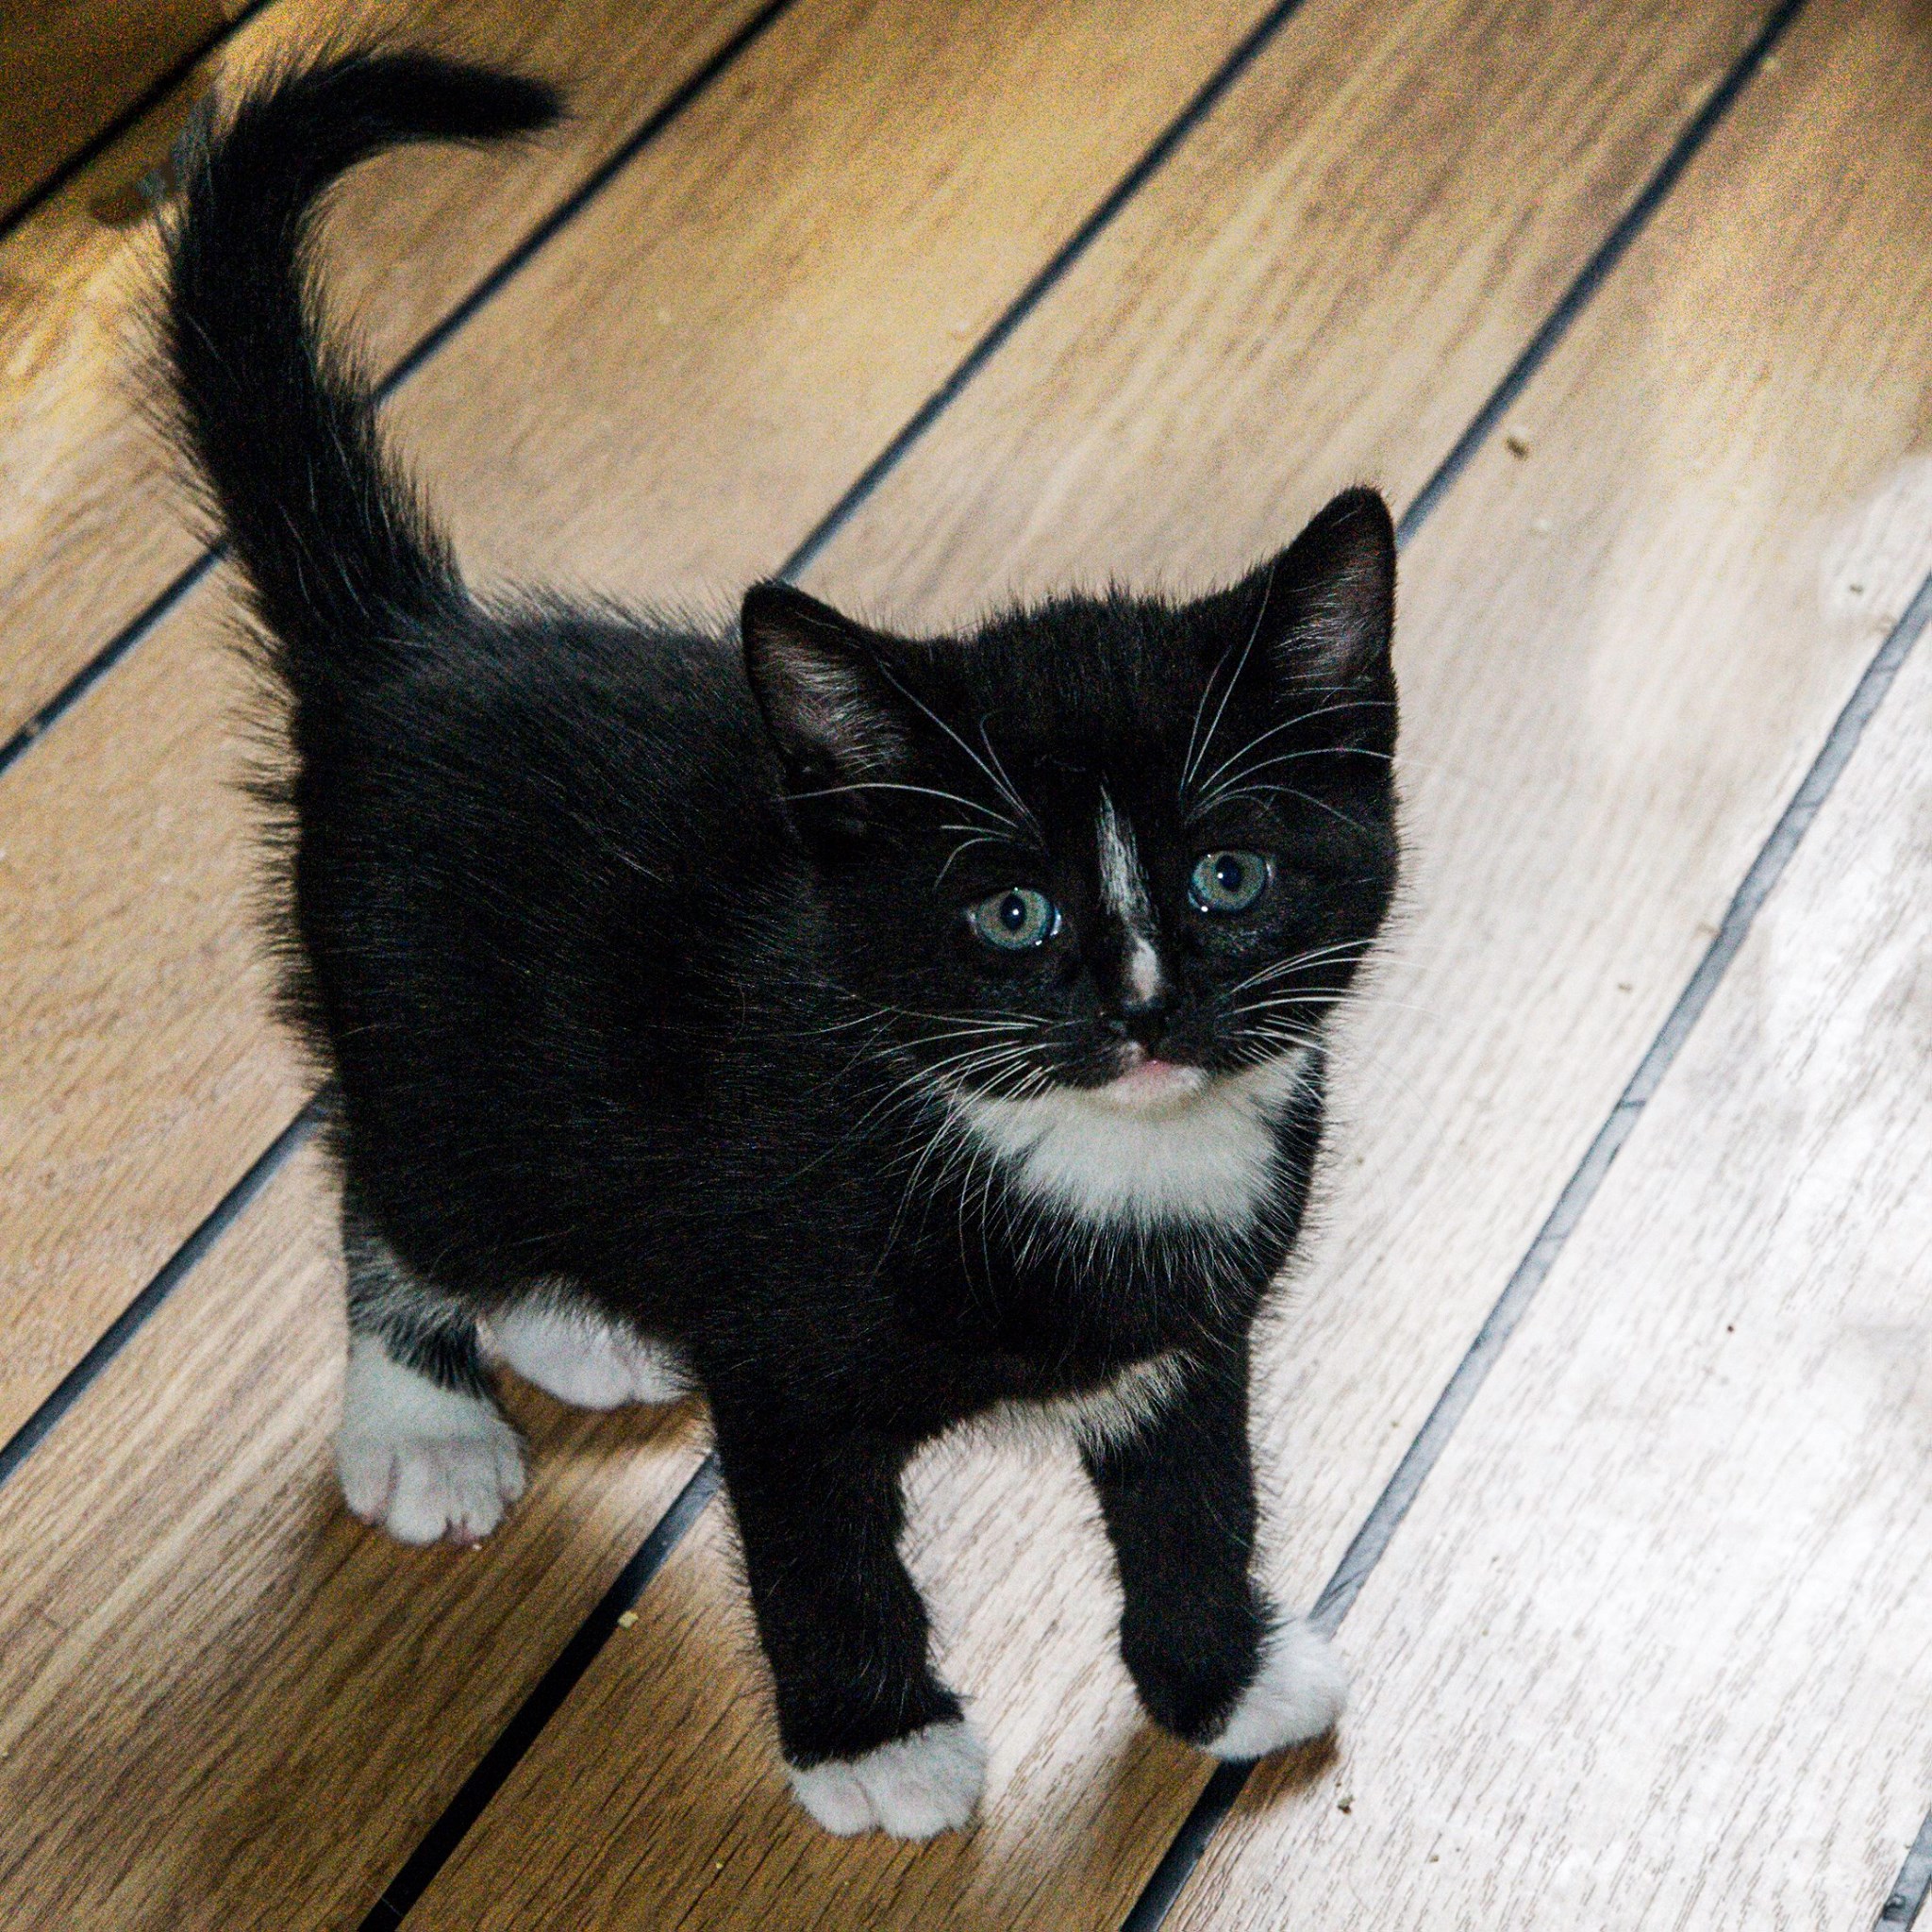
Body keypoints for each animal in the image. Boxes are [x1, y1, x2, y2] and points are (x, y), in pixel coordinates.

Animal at [161, 50, 1400, 1839]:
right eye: (1012, 912)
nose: (1147, 1010)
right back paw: (423, 1412)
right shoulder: (783, 1356)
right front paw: (875, 1740)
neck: (1077, 1160)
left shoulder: (1188, 1340)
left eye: (1229, 876)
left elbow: (1195, 1496)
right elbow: (822, 1553)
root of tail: (411, 644)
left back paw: (572, 1322)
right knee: (390, 1181)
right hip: (423, 1027)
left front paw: (1215, 1678)